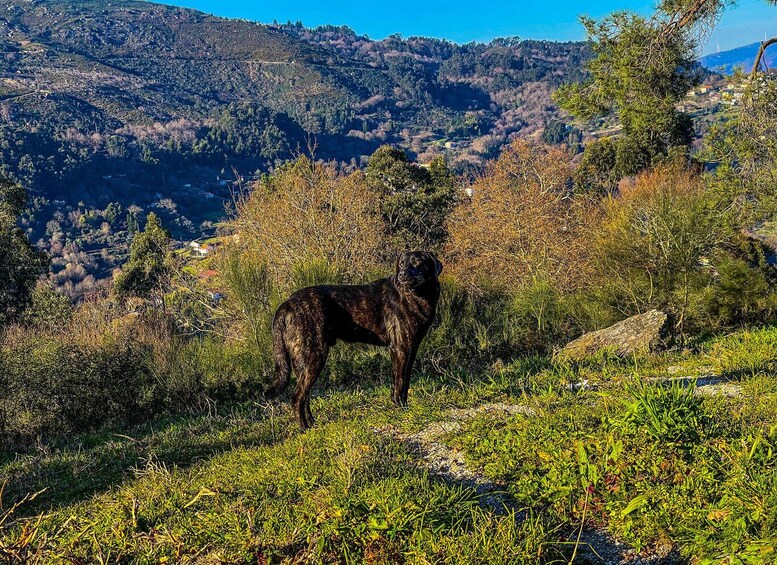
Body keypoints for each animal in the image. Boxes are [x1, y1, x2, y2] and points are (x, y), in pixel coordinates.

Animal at [266, 251, 436, 428]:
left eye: (416, 262)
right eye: (401, 264)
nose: (402, 274)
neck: (417, 295)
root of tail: (286, 304)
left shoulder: (411, 349)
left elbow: (405, 382)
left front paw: (405, 407)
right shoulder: (400, 349)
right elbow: (399, 383)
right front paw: (400, 408)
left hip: (303, 363)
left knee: (304, 396)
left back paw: (313, 424)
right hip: (315, 357)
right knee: (297, 398)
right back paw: (305, 429)